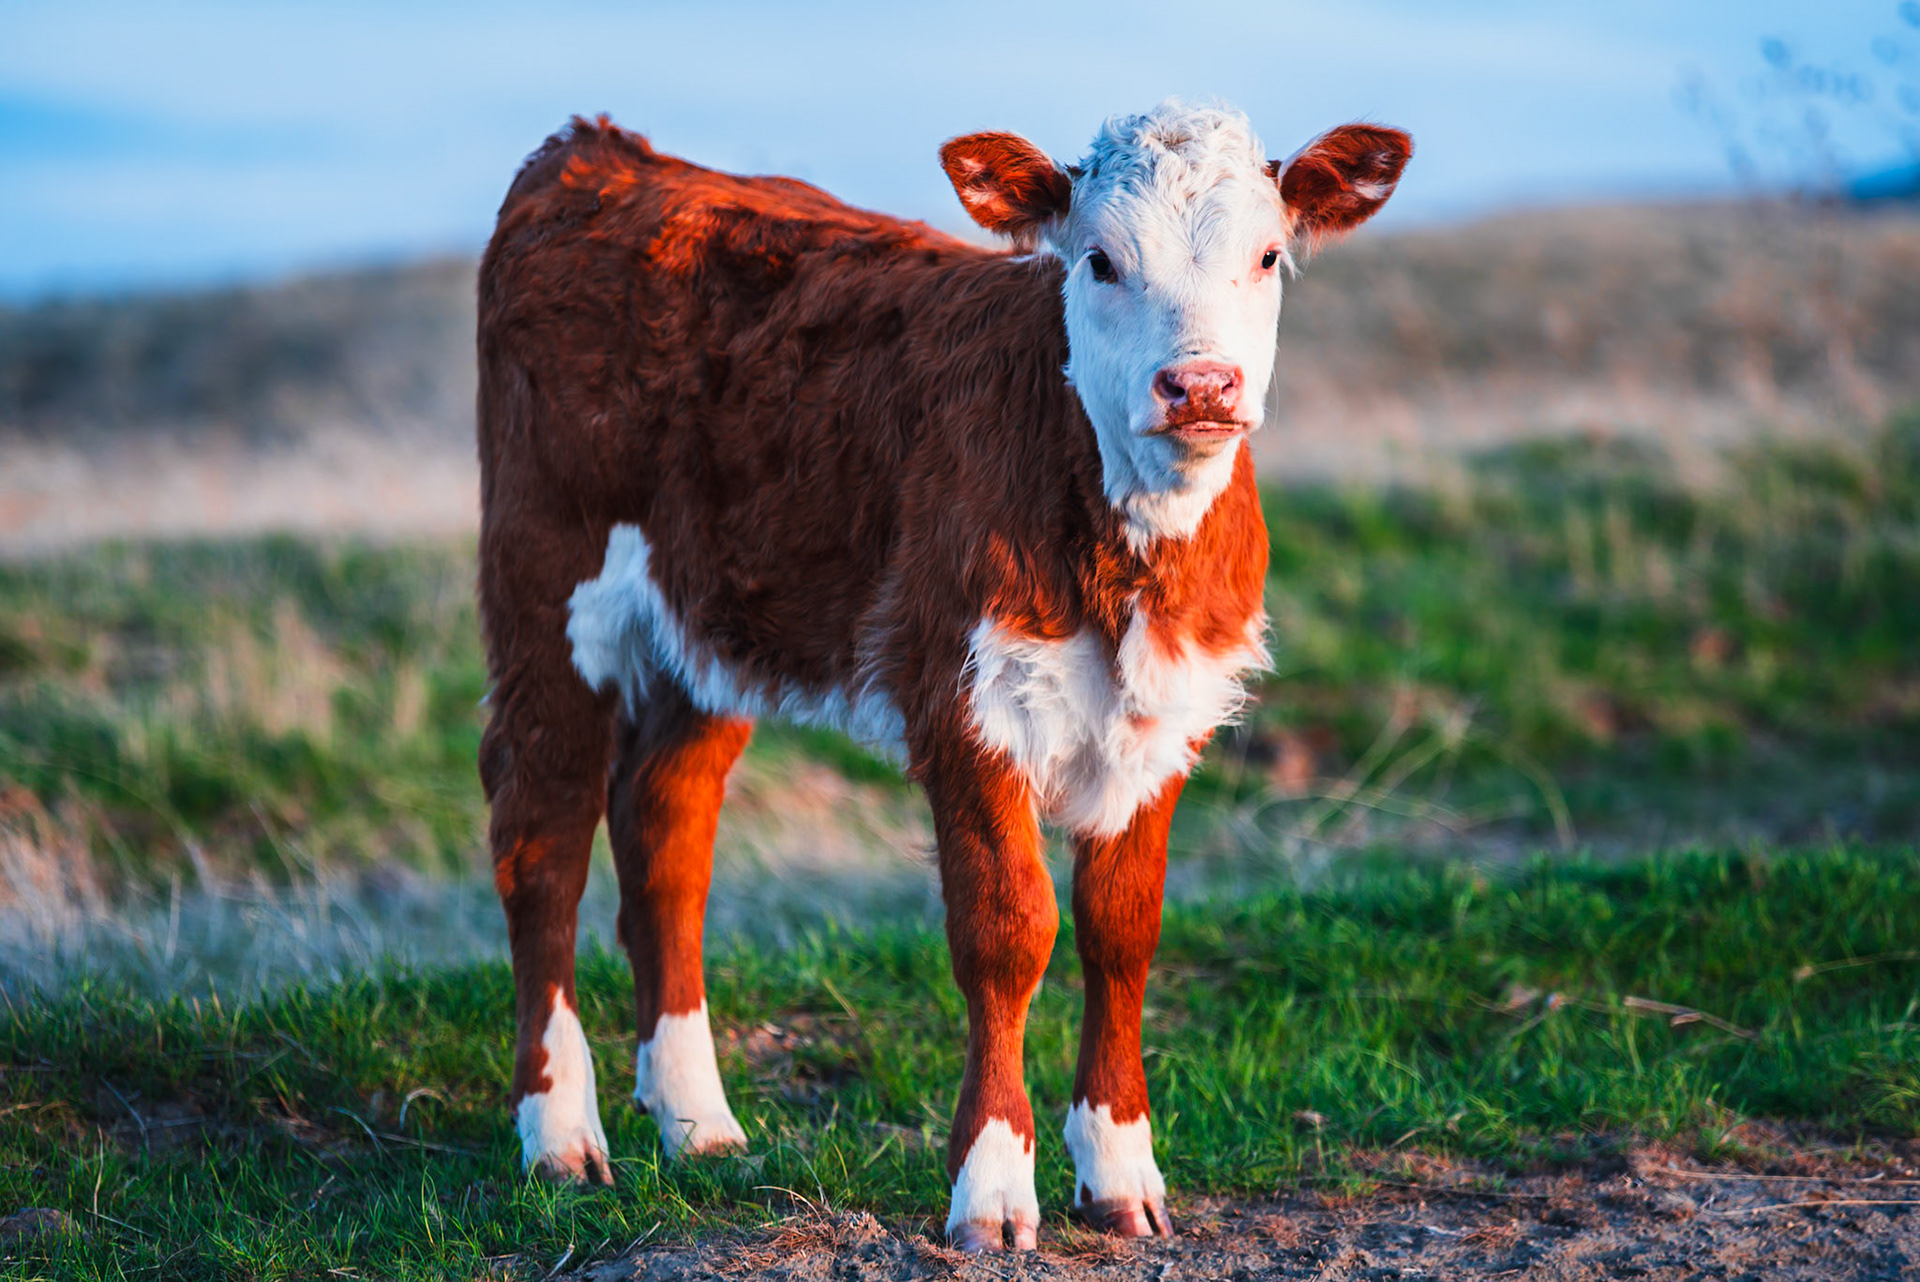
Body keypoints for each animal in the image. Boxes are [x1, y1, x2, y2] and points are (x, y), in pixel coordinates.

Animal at [476, 99, 1409, 1251]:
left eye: (1268, 254)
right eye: (1099, 260)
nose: (1199, 384)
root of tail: (598, 149)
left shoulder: (1165, 709)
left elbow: (1122, 931)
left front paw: (1121, 1172)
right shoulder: (965, 699)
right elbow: (1009, 932)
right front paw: (994, 1189)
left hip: (711, 620)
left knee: (666, 834)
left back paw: (699, 1123)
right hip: (547, 583)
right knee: (543, 839)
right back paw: (560, 1135)